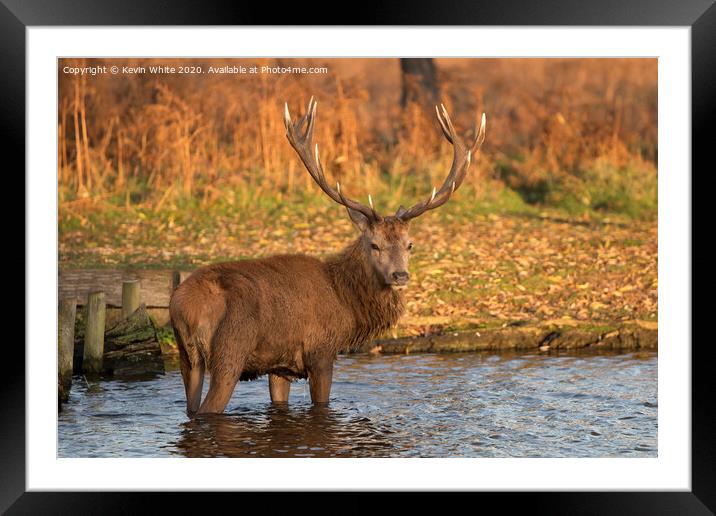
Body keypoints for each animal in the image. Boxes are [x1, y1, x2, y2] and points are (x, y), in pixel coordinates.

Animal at [169, 97, 486, 418]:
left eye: (409, 245)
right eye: (374, 245)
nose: (400, 275)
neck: (347, 302)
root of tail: (185, 307)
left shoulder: (280, 366)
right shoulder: (321, 351)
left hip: (187, 357)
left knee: (191, 406)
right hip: (230, 351)